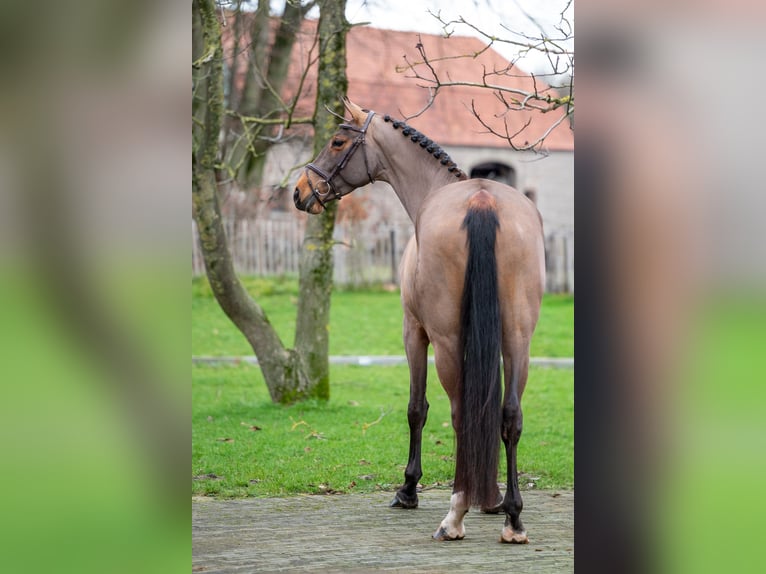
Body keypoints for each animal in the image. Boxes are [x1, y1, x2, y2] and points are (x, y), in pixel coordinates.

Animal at [293, 98, 545, 543]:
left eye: (337, 141)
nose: (300, 190)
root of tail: (482, 201)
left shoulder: (414, 333)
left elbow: (417, 408)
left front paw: (408, 488)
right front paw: (494, 499)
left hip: (446, 344)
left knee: (460, 414)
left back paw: (455, 515)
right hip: (518, 341)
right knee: (509, 417)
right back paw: (513, 519)